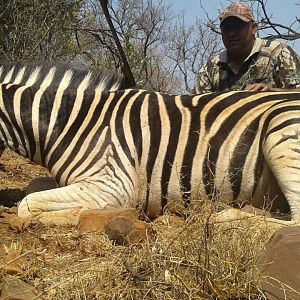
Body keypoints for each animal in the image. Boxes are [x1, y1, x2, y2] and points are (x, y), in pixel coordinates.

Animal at [0, 61, 300, 225]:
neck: (73, 123)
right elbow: (33, 188)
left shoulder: (111, 185)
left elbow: (27, 205)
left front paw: (82, 213)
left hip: (281, 134)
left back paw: (221, 217)